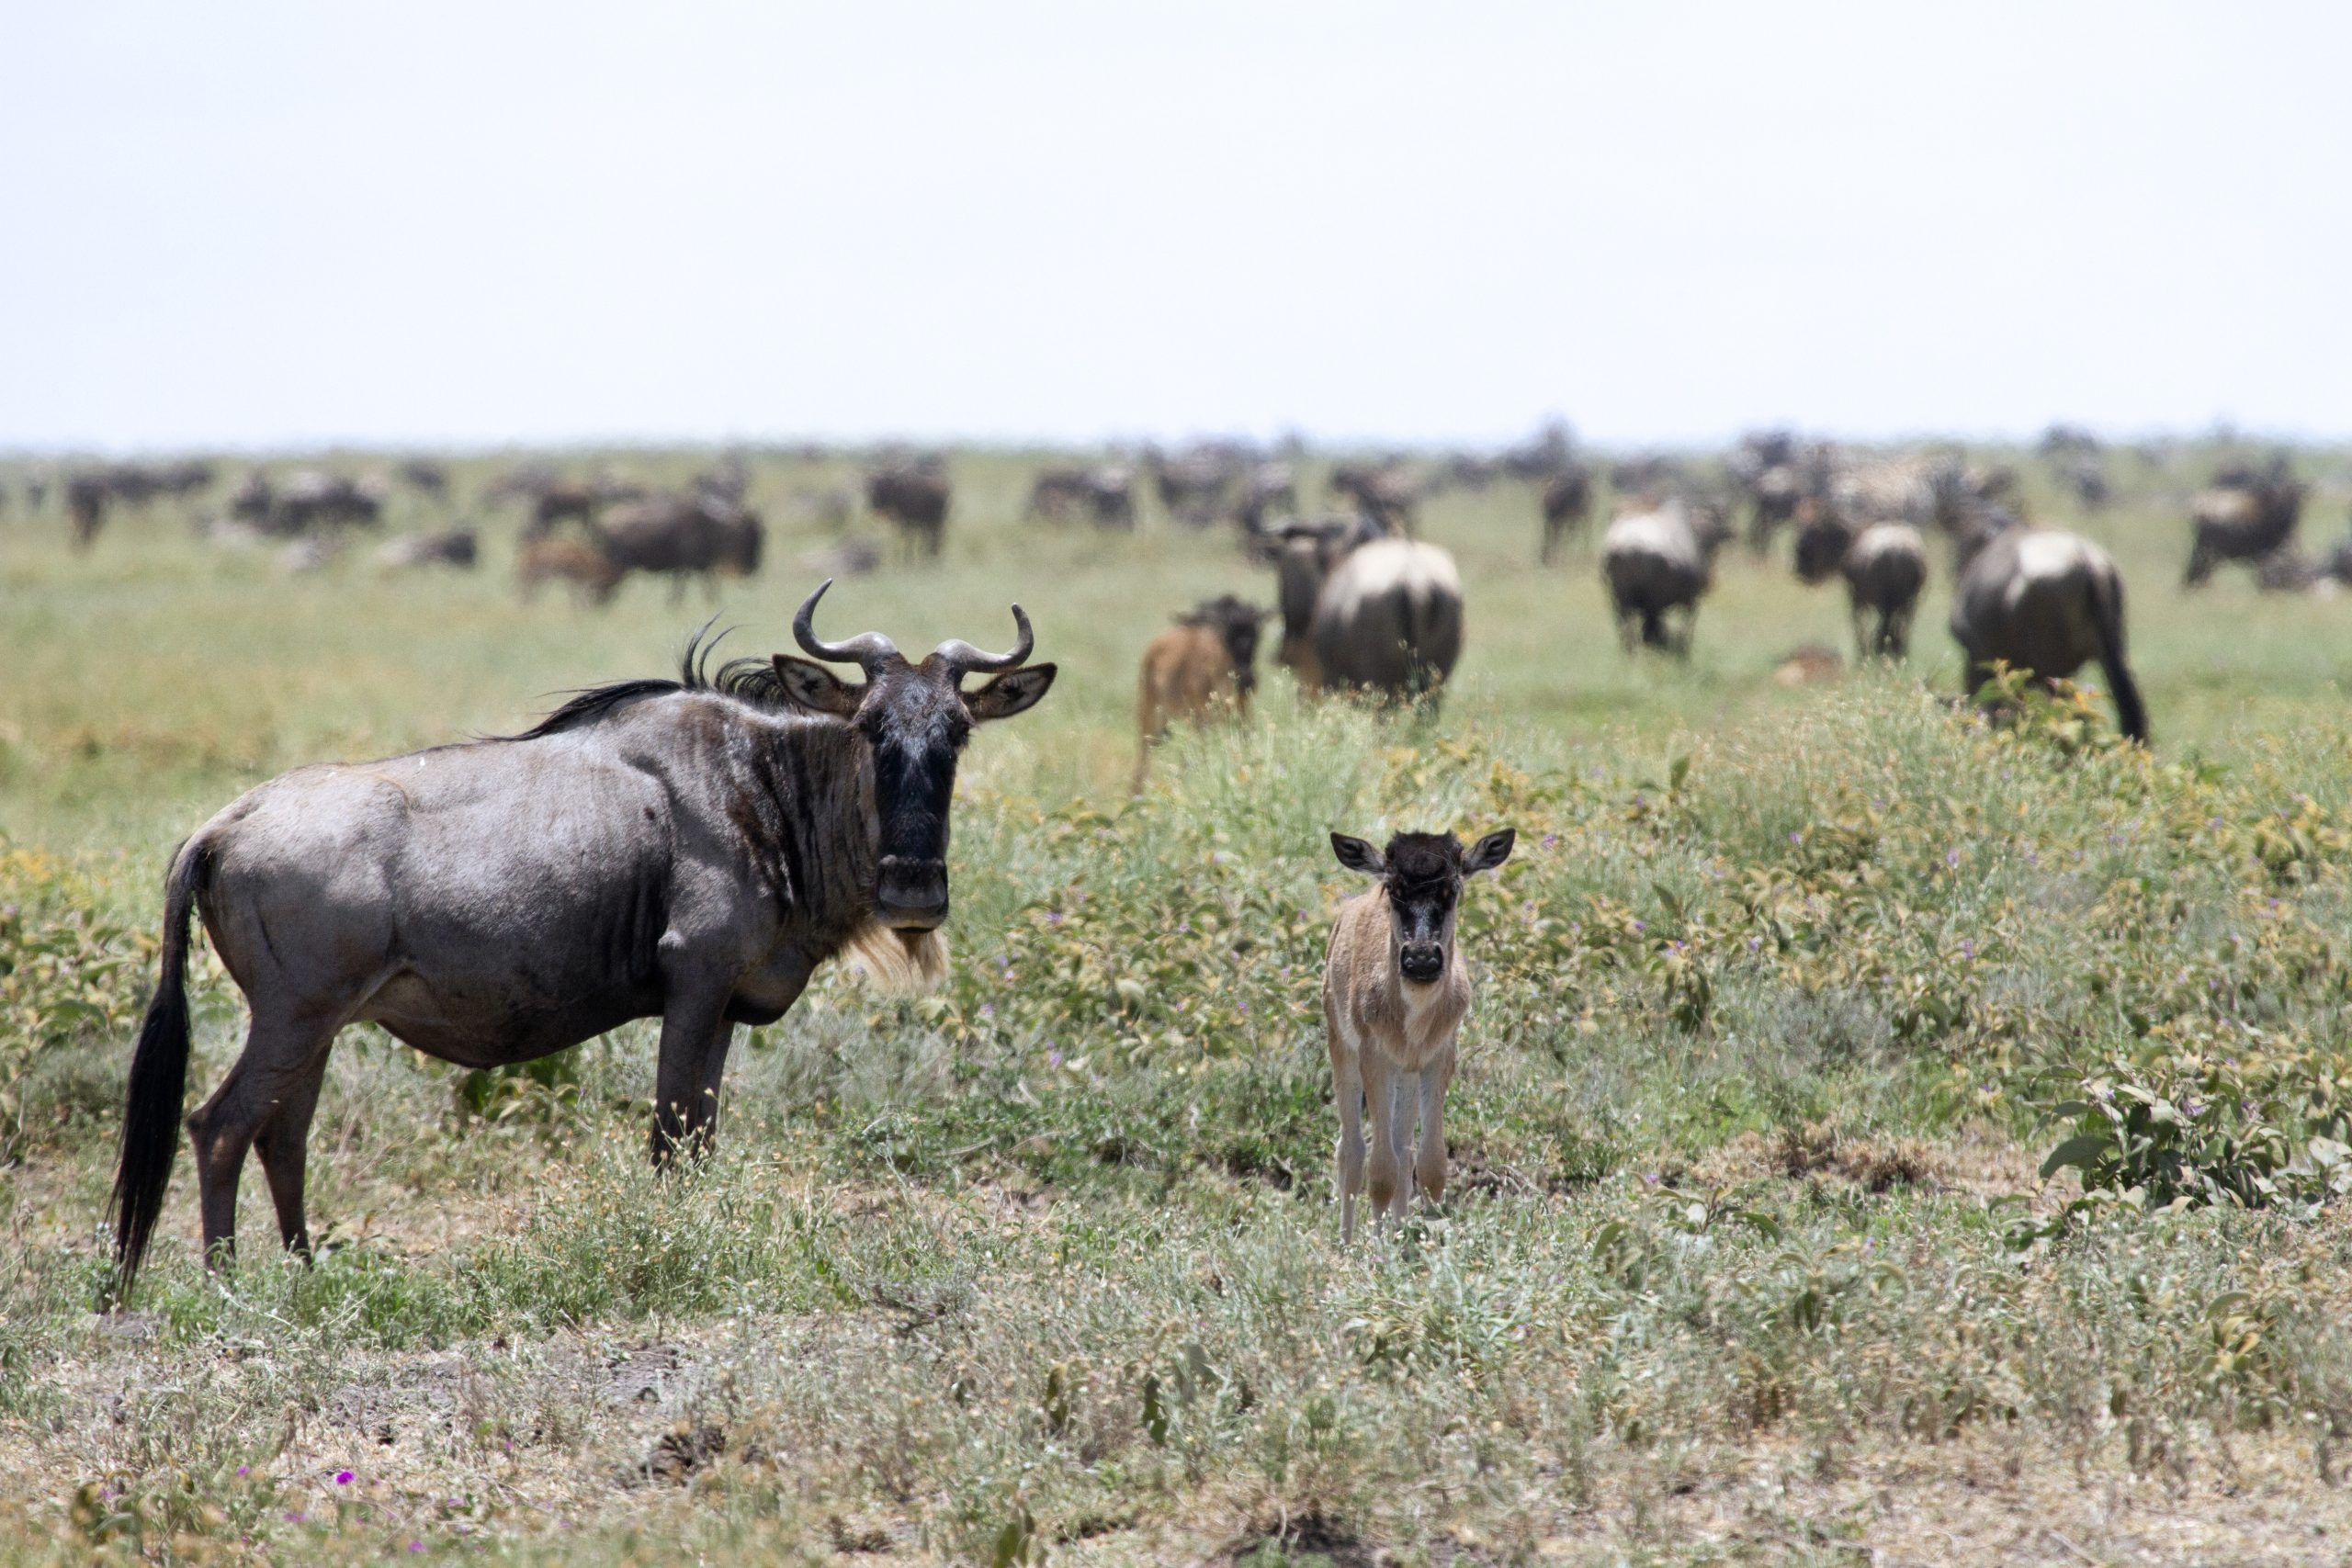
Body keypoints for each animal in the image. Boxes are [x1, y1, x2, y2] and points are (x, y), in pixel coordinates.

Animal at [1326, 827, 1505, 1241]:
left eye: (1452, 889)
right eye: (1394, 889)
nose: (1421, 959)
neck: (1415, 1022)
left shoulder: (1438, 1056)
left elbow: (1431, 1164)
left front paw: (1424, 1236)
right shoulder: (1374, 1057)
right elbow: (1380, 1170)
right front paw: (1375, 1248)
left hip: (1406, 1074)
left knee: (1402, 1146)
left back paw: (1398, 1228)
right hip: (1341, 1047)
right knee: (1351, 1150)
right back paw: (1346, 1241)